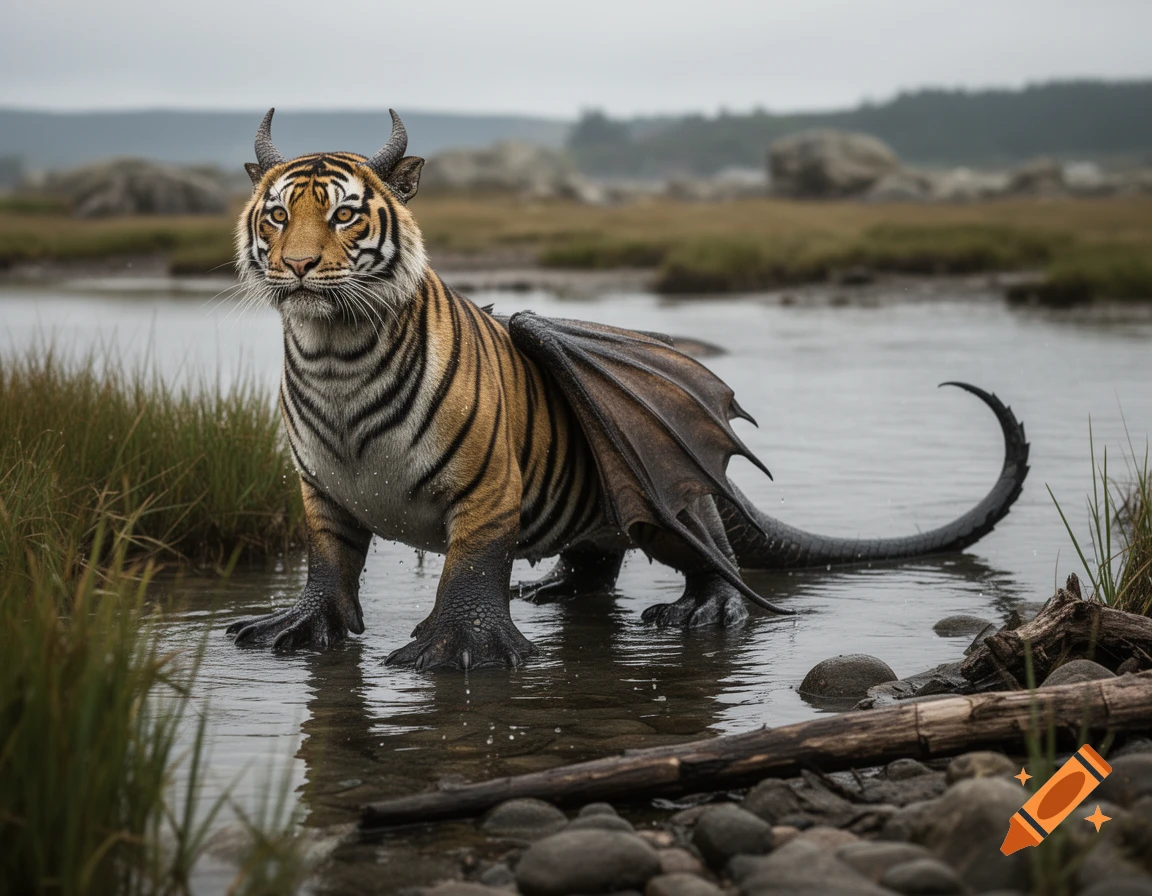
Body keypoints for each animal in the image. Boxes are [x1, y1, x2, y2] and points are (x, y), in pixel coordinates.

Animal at [226, 109, 1030, 670]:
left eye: (344, 213)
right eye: (278, 214)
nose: (297, 267)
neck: (336, 354)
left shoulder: (488, 488)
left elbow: (473, 564)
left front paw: (457, 650)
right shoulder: (321, 489)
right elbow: (327, 559)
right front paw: (295, 628)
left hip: (673, 495)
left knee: (713, 552)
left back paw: (705, 612)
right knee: (596, 557)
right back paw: (552, 590)